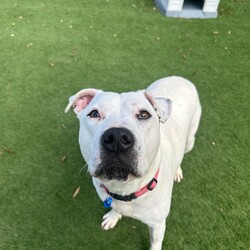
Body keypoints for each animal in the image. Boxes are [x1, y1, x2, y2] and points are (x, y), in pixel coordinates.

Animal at [65, 76, 201, 250]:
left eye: (144, 114)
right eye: (94, 114)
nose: (116, 138)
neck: (124, 190)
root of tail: (179, 77)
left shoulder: (157, 224)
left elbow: (155, 242)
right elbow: (114, 207)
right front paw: (113, 216)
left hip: (190, 139)